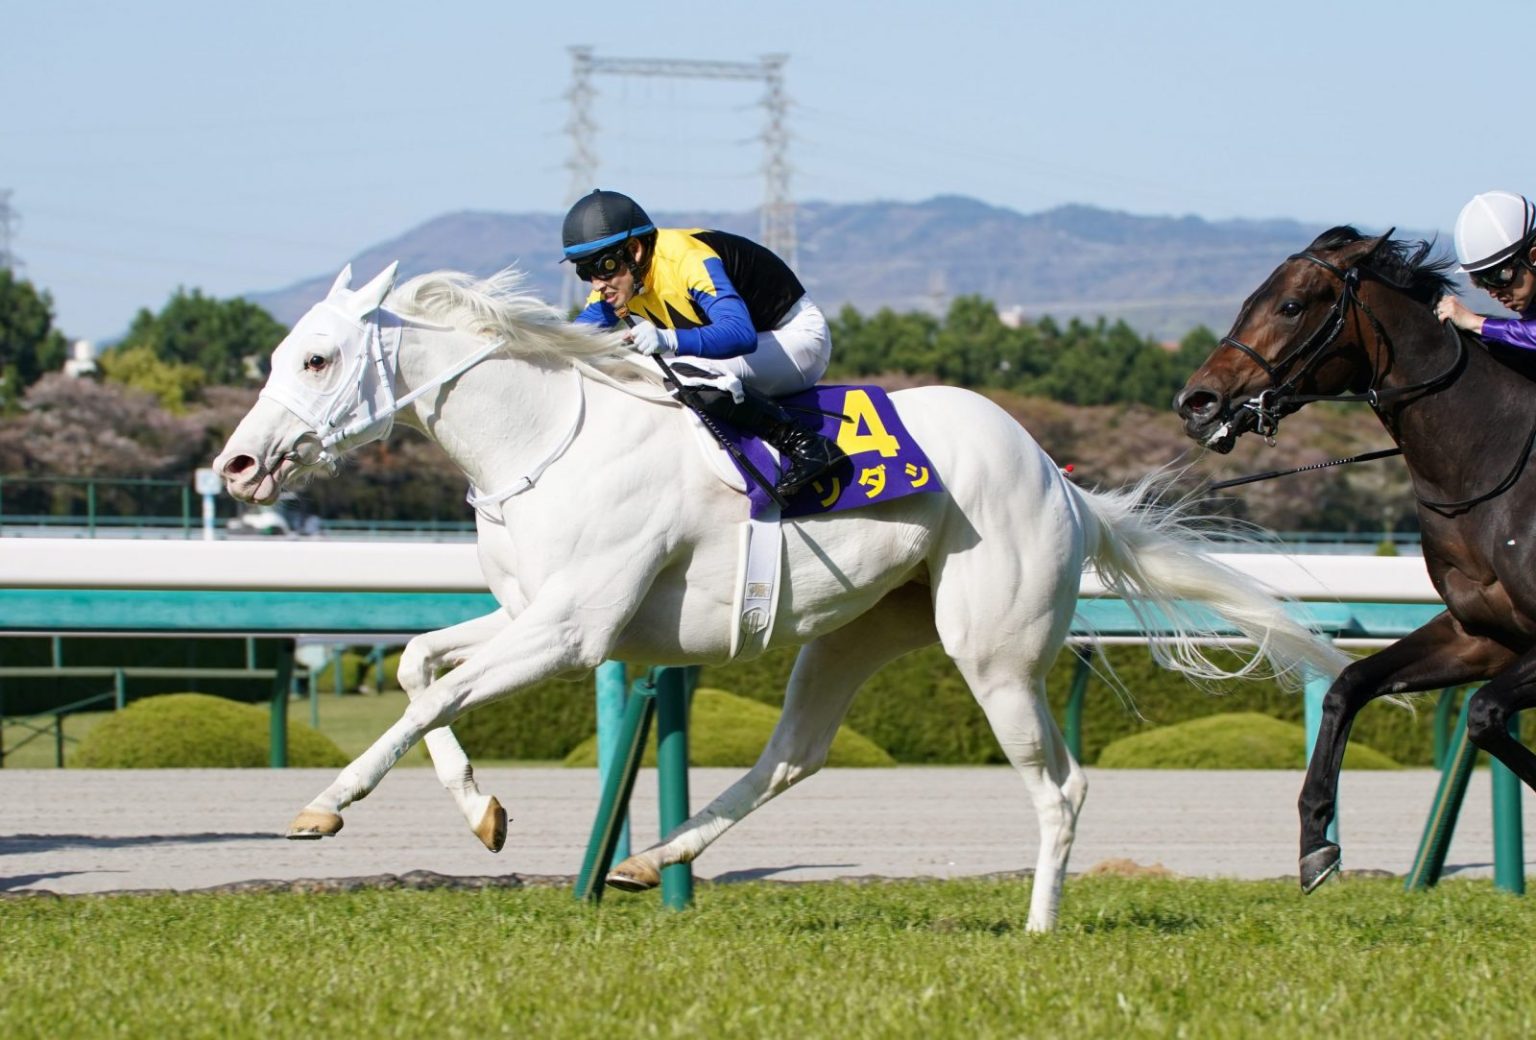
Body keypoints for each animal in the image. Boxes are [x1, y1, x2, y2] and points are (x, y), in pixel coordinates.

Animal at [214, 261, 1347, 931]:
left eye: (316, 357)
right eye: (275, 353)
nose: (236, 465)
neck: (547, 438)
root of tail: (1057, 475)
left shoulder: (574, 633)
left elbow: (436, 693)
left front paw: (326, 803)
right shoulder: (536, 614)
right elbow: (418, 667)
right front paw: (483, 809)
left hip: (994, 652)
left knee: (1058, 789)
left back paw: (1037, 924)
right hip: (853, 629)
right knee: (792, 755)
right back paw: (652, 860)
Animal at [1174, 225, 1536, 892]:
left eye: (1291, 305)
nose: (1196, 402)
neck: (1495, 463)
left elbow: (1483, 711)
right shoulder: (1482, 633)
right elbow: (1350, 686)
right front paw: (1316, 843)